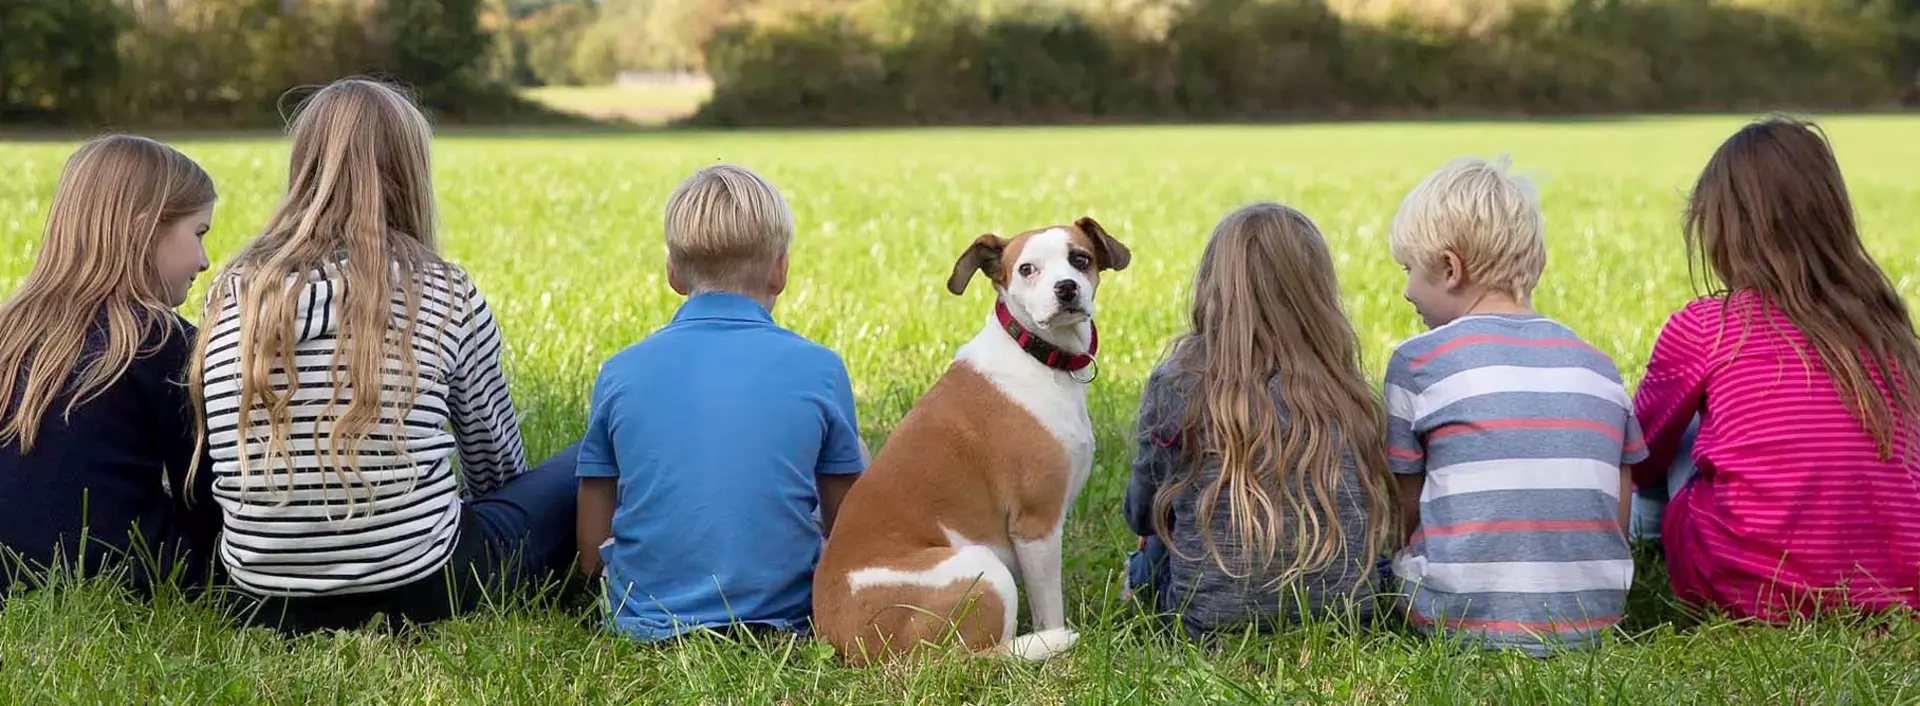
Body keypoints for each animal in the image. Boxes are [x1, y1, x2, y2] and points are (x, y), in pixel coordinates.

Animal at [806, 217, 1121, 663]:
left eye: (1080, 258)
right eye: (1027, 269)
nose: (1066, 288)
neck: (1035, 356)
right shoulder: (1036, 525)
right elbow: (1049, 605)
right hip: (984, 568)